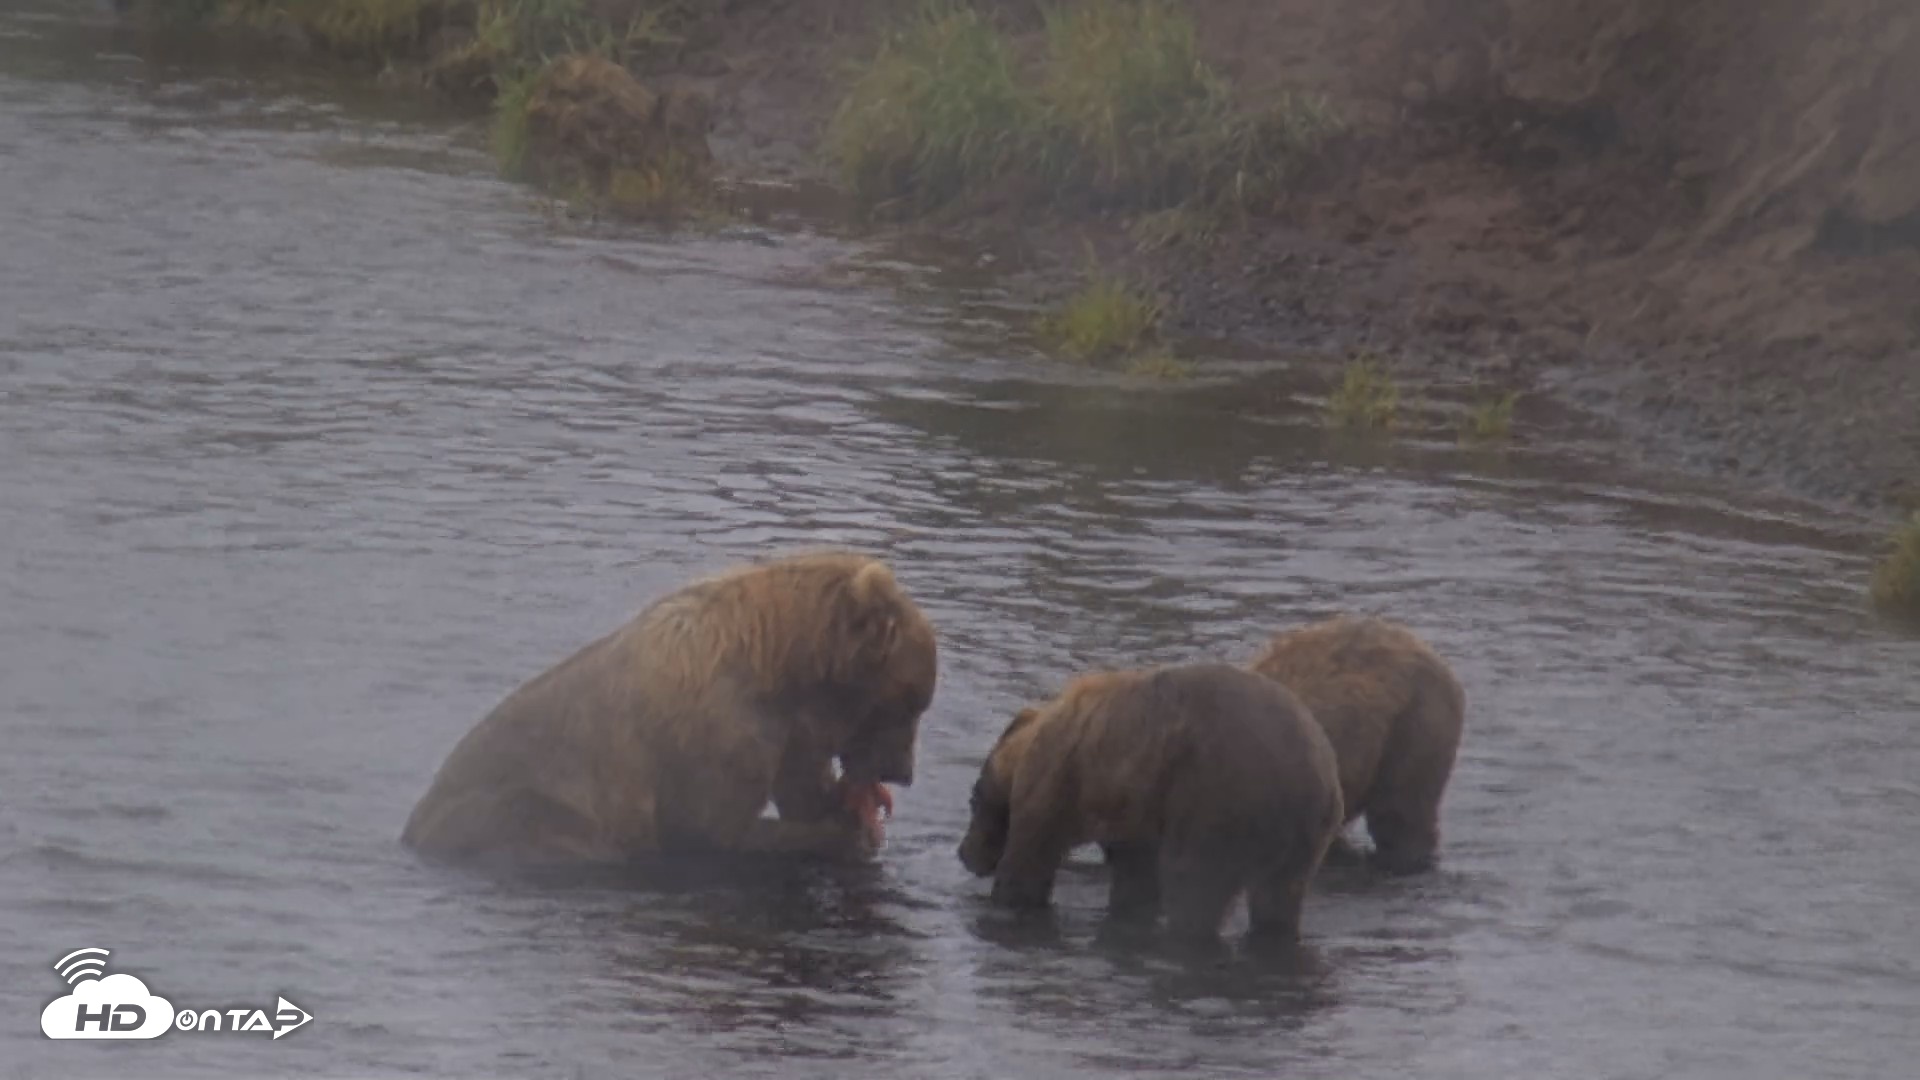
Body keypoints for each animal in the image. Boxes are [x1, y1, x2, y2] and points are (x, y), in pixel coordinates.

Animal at [400, 550, 937, 868]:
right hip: (513, 809)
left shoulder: (788, 732)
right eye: (910, 702)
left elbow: (800, 786)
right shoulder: (718, 729)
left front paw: (851, 809)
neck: (786, 670)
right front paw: (847, 835)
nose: (903, 771)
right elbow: (711, 831)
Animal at [956, 662, 1344, 944]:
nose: (964, 852)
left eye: (974, 799)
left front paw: (1006, 899)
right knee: (1278, 901)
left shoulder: (1056, 783)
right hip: (1302, 840)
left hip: (1216, 801)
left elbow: (1028, 859)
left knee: (1194, 887)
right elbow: (1135, 879)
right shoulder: (1133, 812)